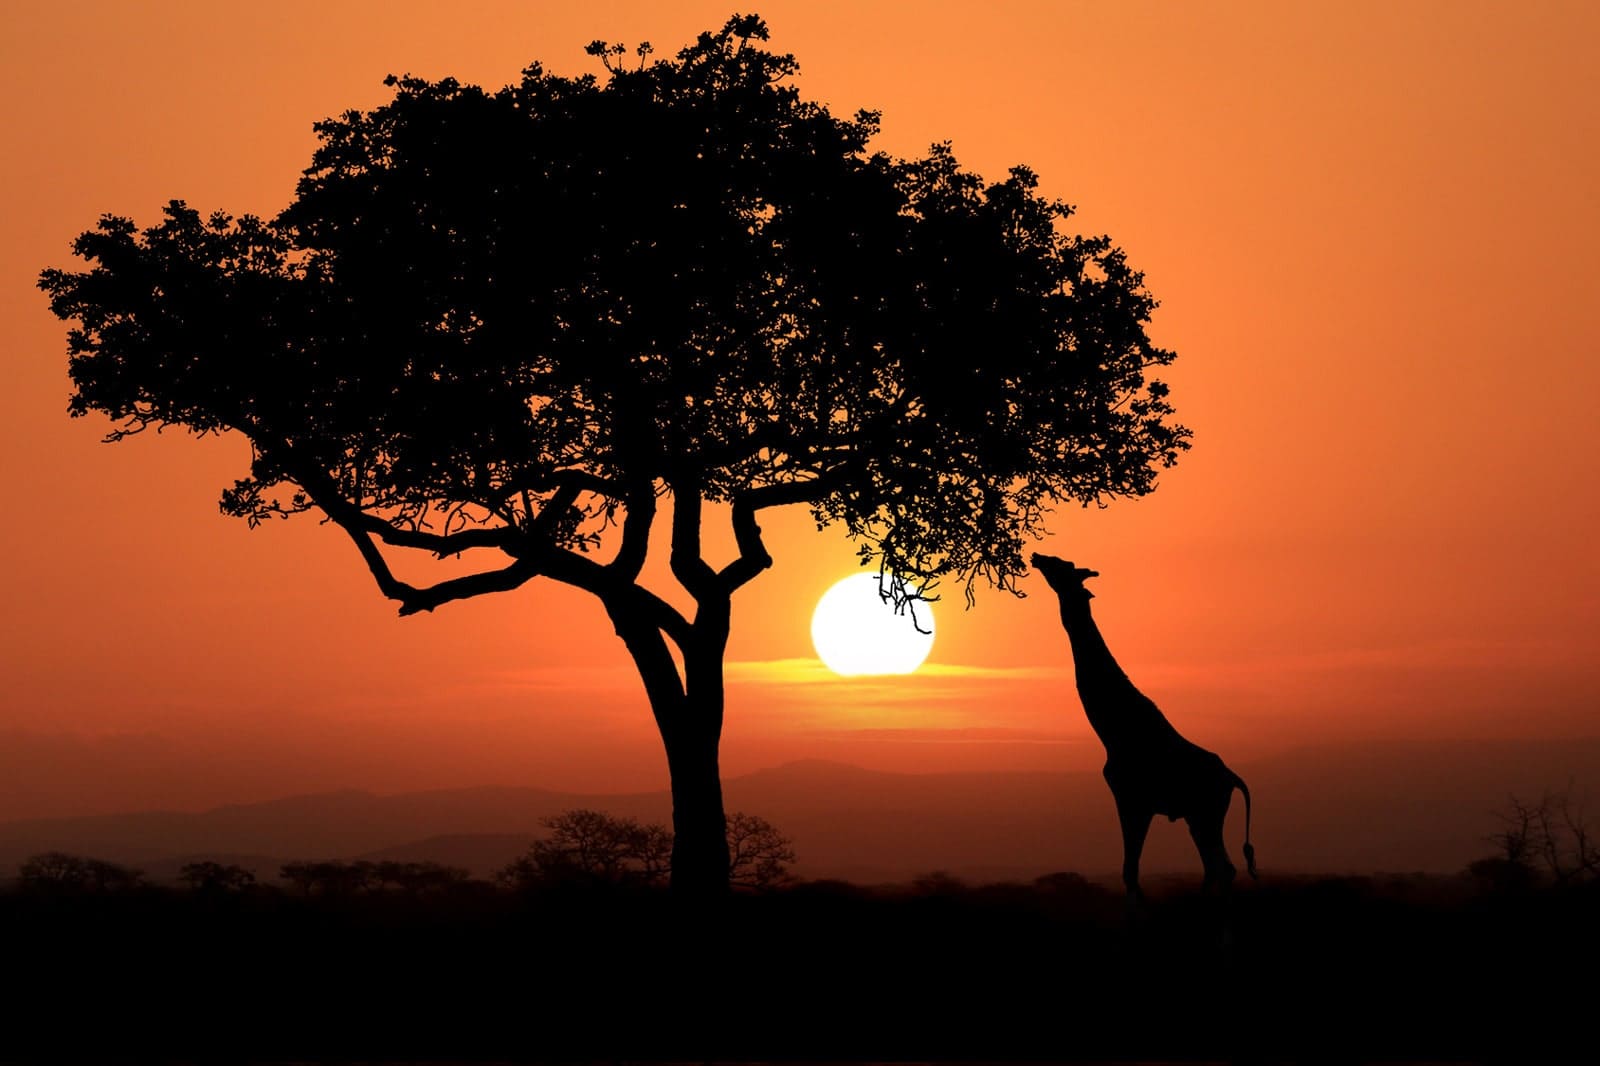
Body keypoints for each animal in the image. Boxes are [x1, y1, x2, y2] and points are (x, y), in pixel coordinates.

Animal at [1031, 553, 1256, 903]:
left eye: (1061, 566)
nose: (1037, 557)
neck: (1113, 731)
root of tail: (1232, 778)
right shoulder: (1136, 802)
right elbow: (1131, 871)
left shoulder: (1132, 800)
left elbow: (1130, 871)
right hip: (1197, 815)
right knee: (1218, 868)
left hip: (1207, 812)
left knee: (1222, 867)